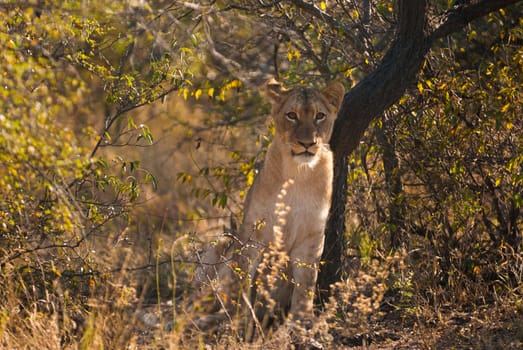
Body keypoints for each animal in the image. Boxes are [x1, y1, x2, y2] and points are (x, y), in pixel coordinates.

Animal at [194, 78, 346, 332]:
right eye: (292, 115)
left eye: (320, 116)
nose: (307, 143)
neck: (299, 174)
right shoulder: (253, 233)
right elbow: (243, 277)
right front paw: (242, 319)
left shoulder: (312, 236)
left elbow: (306, 282)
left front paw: (301, 322)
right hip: (221, 243)